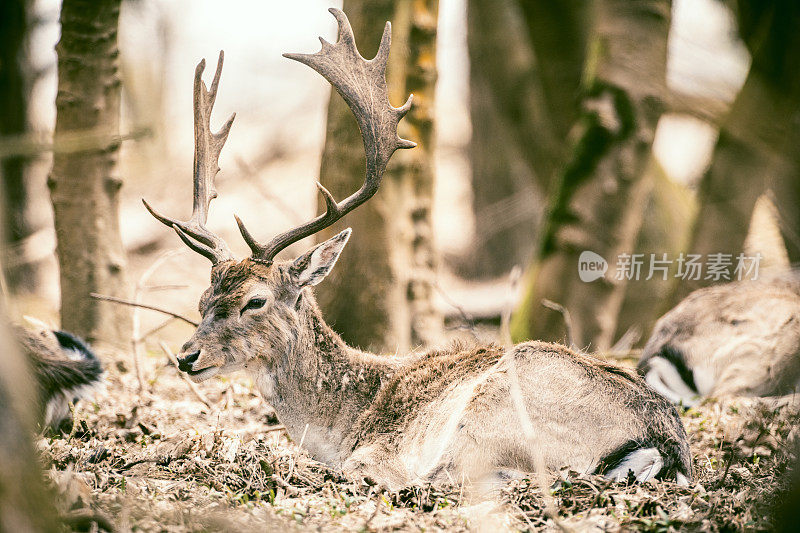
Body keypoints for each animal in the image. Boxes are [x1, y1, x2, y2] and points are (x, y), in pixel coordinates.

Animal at [145, 8, 692, 490]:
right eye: (201, 300)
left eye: (255, 301)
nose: (187, 356)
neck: (346, 419)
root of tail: (663, 442)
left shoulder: (384, 450)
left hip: (491, 413)